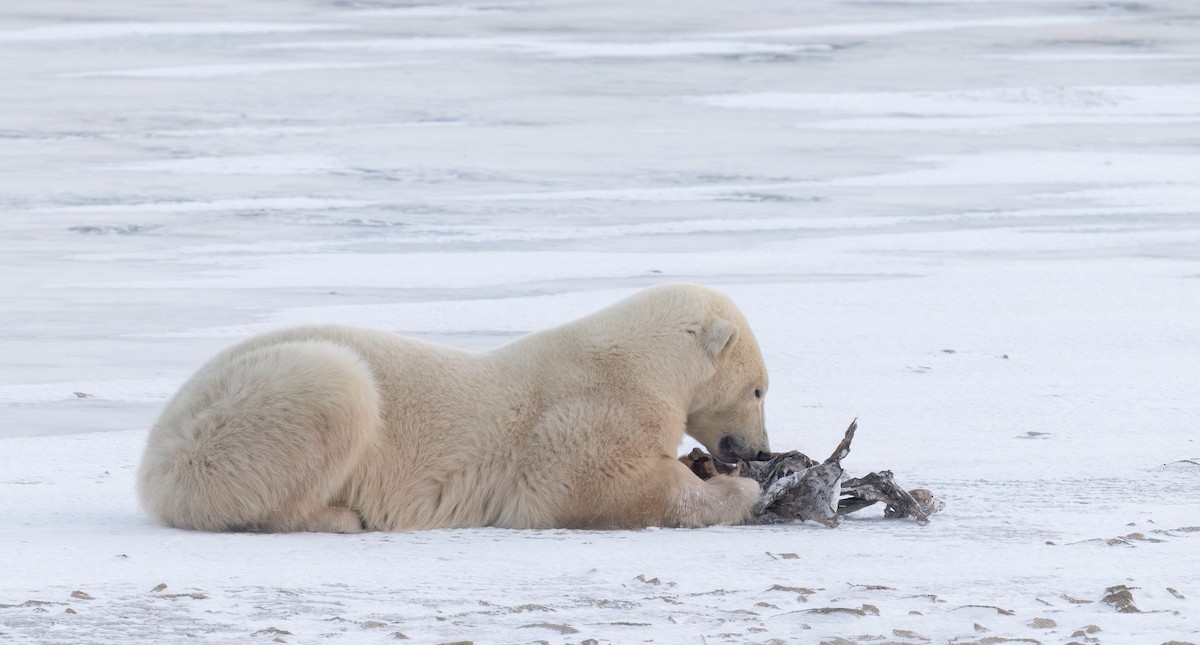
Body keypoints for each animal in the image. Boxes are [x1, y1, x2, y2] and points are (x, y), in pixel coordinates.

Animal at [137, 283, 772, 532]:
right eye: (760, 390)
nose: (762, 451)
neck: (640, 362)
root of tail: (151, 460)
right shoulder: (587, 413)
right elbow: (590, 485)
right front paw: (740, 490)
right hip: (233, 420)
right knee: (336, 386)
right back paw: (339, 516)